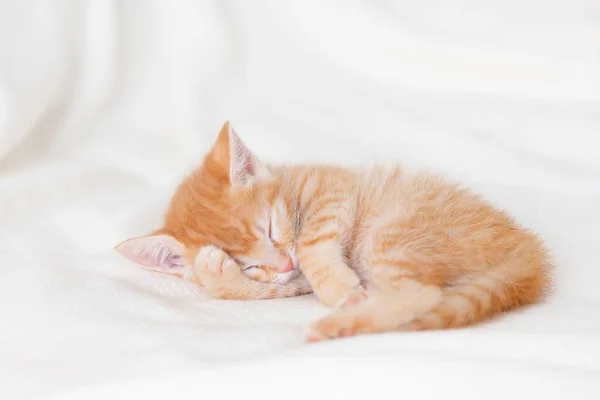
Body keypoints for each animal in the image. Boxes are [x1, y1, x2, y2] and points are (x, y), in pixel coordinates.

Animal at [116, 120, 552, 342]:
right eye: (247, 264)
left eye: (270, 228)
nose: (282, 263)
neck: (291, 182)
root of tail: (525, 247)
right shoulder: (289, 282)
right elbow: (253, 290)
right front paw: (216, 272)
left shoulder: (335, 189)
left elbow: (312, 244)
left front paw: (338, 286)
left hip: (391, 235)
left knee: (422, 294)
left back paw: (337, 319)